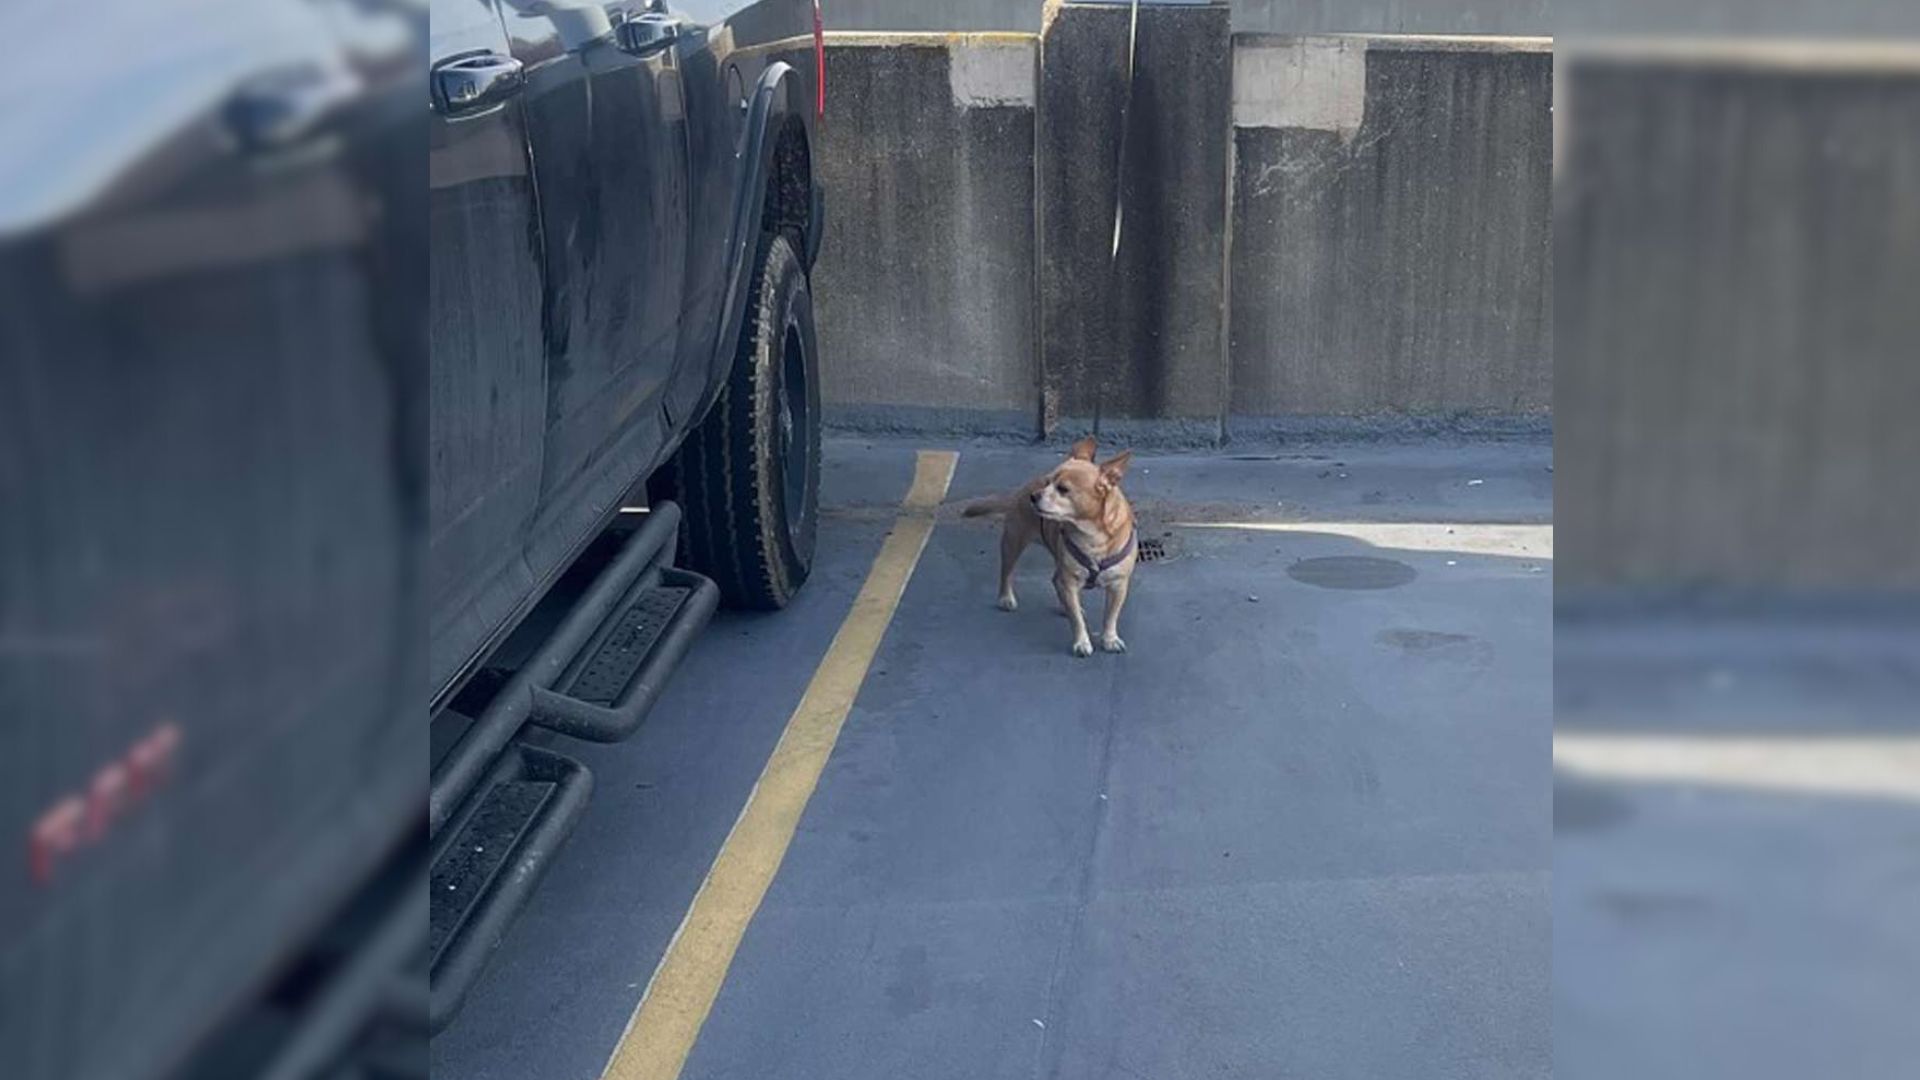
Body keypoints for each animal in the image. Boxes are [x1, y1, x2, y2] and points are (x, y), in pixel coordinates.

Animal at [967, 432, 1128, 653]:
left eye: (1063, 489)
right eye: (1048, 481)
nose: (1034, 496)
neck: (1092, 536)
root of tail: (1023, 488)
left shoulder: (1118, 586)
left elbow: (1111, 616)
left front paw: (1110, 638)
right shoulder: (1070, 581)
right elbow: (1077, 620)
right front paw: (1081, 641)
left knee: (1056, 581)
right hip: (1013, 543)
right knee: (1007, 572)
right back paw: (1006, 598)